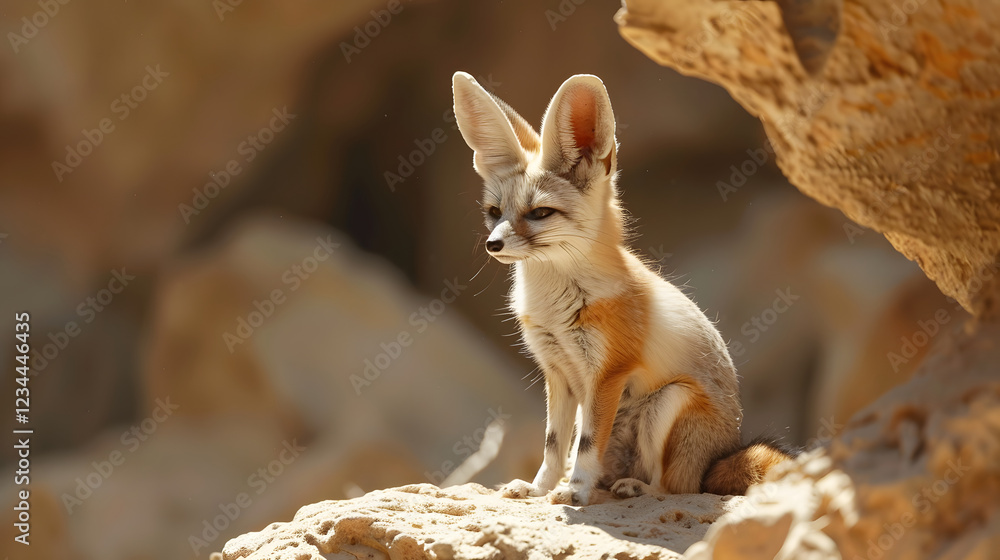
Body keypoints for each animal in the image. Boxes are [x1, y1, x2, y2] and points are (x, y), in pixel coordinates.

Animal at [451, 71, 795, 506]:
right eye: (494, 213)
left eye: (541, 213)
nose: (492, 245)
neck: (556, 306)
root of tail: (724, 450)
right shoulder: (557, 373)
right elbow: (553, 445)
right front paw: (539, 488)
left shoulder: (607, 374)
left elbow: (585, 445)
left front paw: (575, 491)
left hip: (667, 402)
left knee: (677, 488)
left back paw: (637, 488)